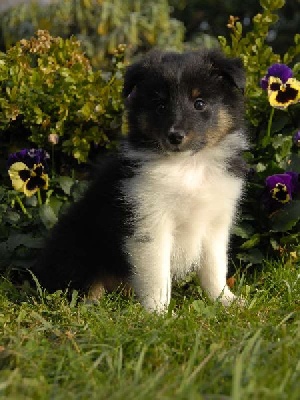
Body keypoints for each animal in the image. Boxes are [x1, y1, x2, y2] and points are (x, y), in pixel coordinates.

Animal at [32, 47, 248, 312]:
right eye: (160, 105)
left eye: (200, 103)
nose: (175, 136)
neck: (187, 166)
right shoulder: (149, 224)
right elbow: (157, 277)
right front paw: (158, 313)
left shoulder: (215, 223)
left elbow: (215, 269)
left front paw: (227, 301)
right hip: (78, 247)